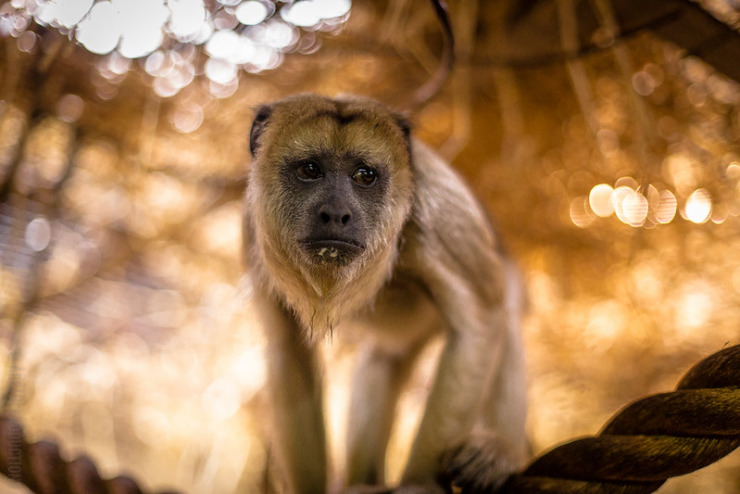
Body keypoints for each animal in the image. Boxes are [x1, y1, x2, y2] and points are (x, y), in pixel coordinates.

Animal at [243, 93, 528, 494]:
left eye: (365, 176)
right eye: (310, 170)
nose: (336, 214)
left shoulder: (437, 211)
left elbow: (482, 319)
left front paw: (421, 484)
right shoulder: (253, 229)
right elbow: (289, 348)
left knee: (506, 320)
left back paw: (501, 451)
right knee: (380, 359)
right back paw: (365, 481)